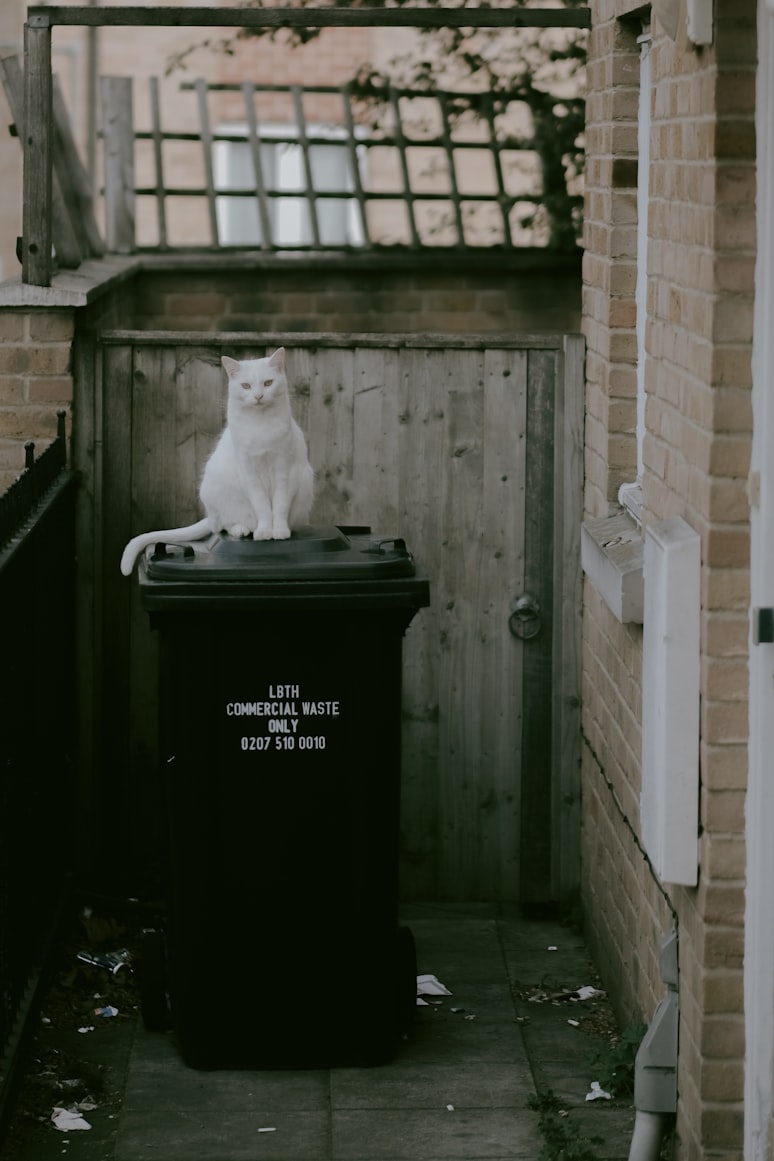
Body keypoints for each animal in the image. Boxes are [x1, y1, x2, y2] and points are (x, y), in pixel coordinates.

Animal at [121, 345, 315, 578]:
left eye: (268, 383)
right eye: (246, 385)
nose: (258, 396)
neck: (260, 425)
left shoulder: (284, 470)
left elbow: (279, 505)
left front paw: (279, 530)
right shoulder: (249, 473)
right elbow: (261, 505)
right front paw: (263, 531)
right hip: (216, 490)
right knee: (222, 525)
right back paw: (242, 528)